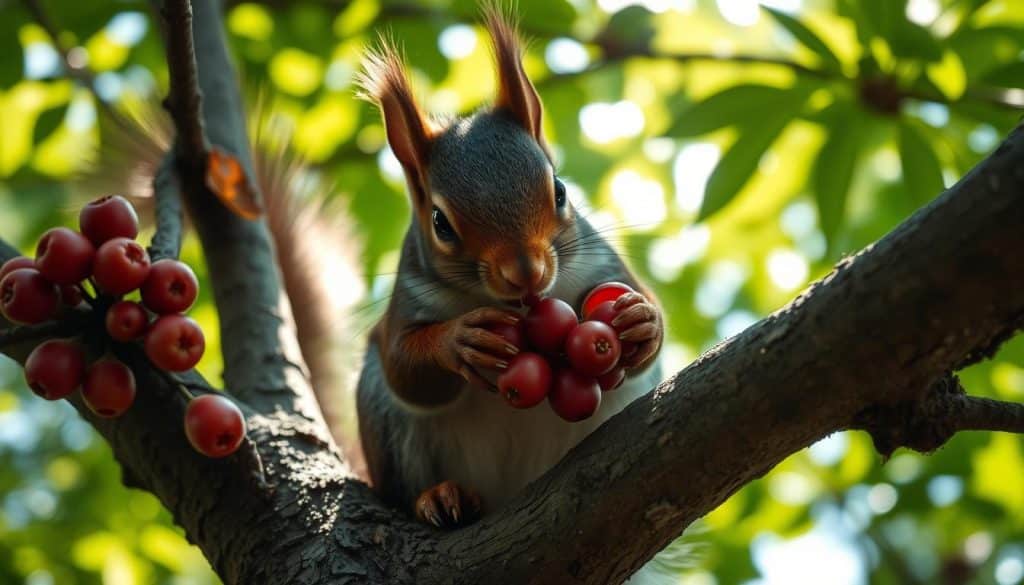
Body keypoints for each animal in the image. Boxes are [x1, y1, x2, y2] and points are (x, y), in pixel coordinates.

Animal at [354, 9, 665, 527]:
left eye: (559, 190)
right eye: (440, 223)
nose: (527, 273)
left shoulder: (602, 264)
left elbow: (644, 317)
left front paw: (642, 321)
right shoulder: (409, 297)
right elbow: (404, 369)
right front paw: (457, 340)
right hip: (387, 427)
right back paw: (438, 498)